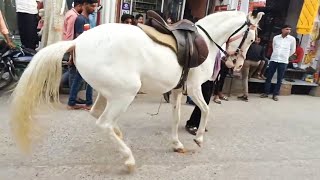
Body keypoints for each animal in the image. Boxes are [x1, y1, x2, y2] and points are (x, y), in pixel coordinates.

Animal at [10, 10, 262, 171]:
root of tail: (78, 41)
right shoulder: (194, 88)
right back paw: (128, 158)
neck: (205, 41)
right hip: (125, 93)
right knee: (103, 123)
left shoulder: (177, 90)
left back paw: (119, 136)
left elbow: (176, 117)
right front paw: (198, 138)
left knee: (98, 115)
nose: (237, 64)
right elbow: (207, 110)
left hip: (108, 93)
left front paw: (177, 144)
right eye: (251, 37)